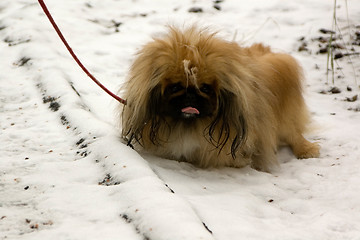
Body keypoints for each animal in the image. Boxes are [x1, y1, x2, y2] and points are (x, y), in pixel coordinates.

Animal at [119, 25, 320, 172]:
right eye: (175, 87)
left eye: (205, 88)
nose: (190, 95)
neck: (189, 126)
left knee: (293, 133)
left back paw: (307, 150)